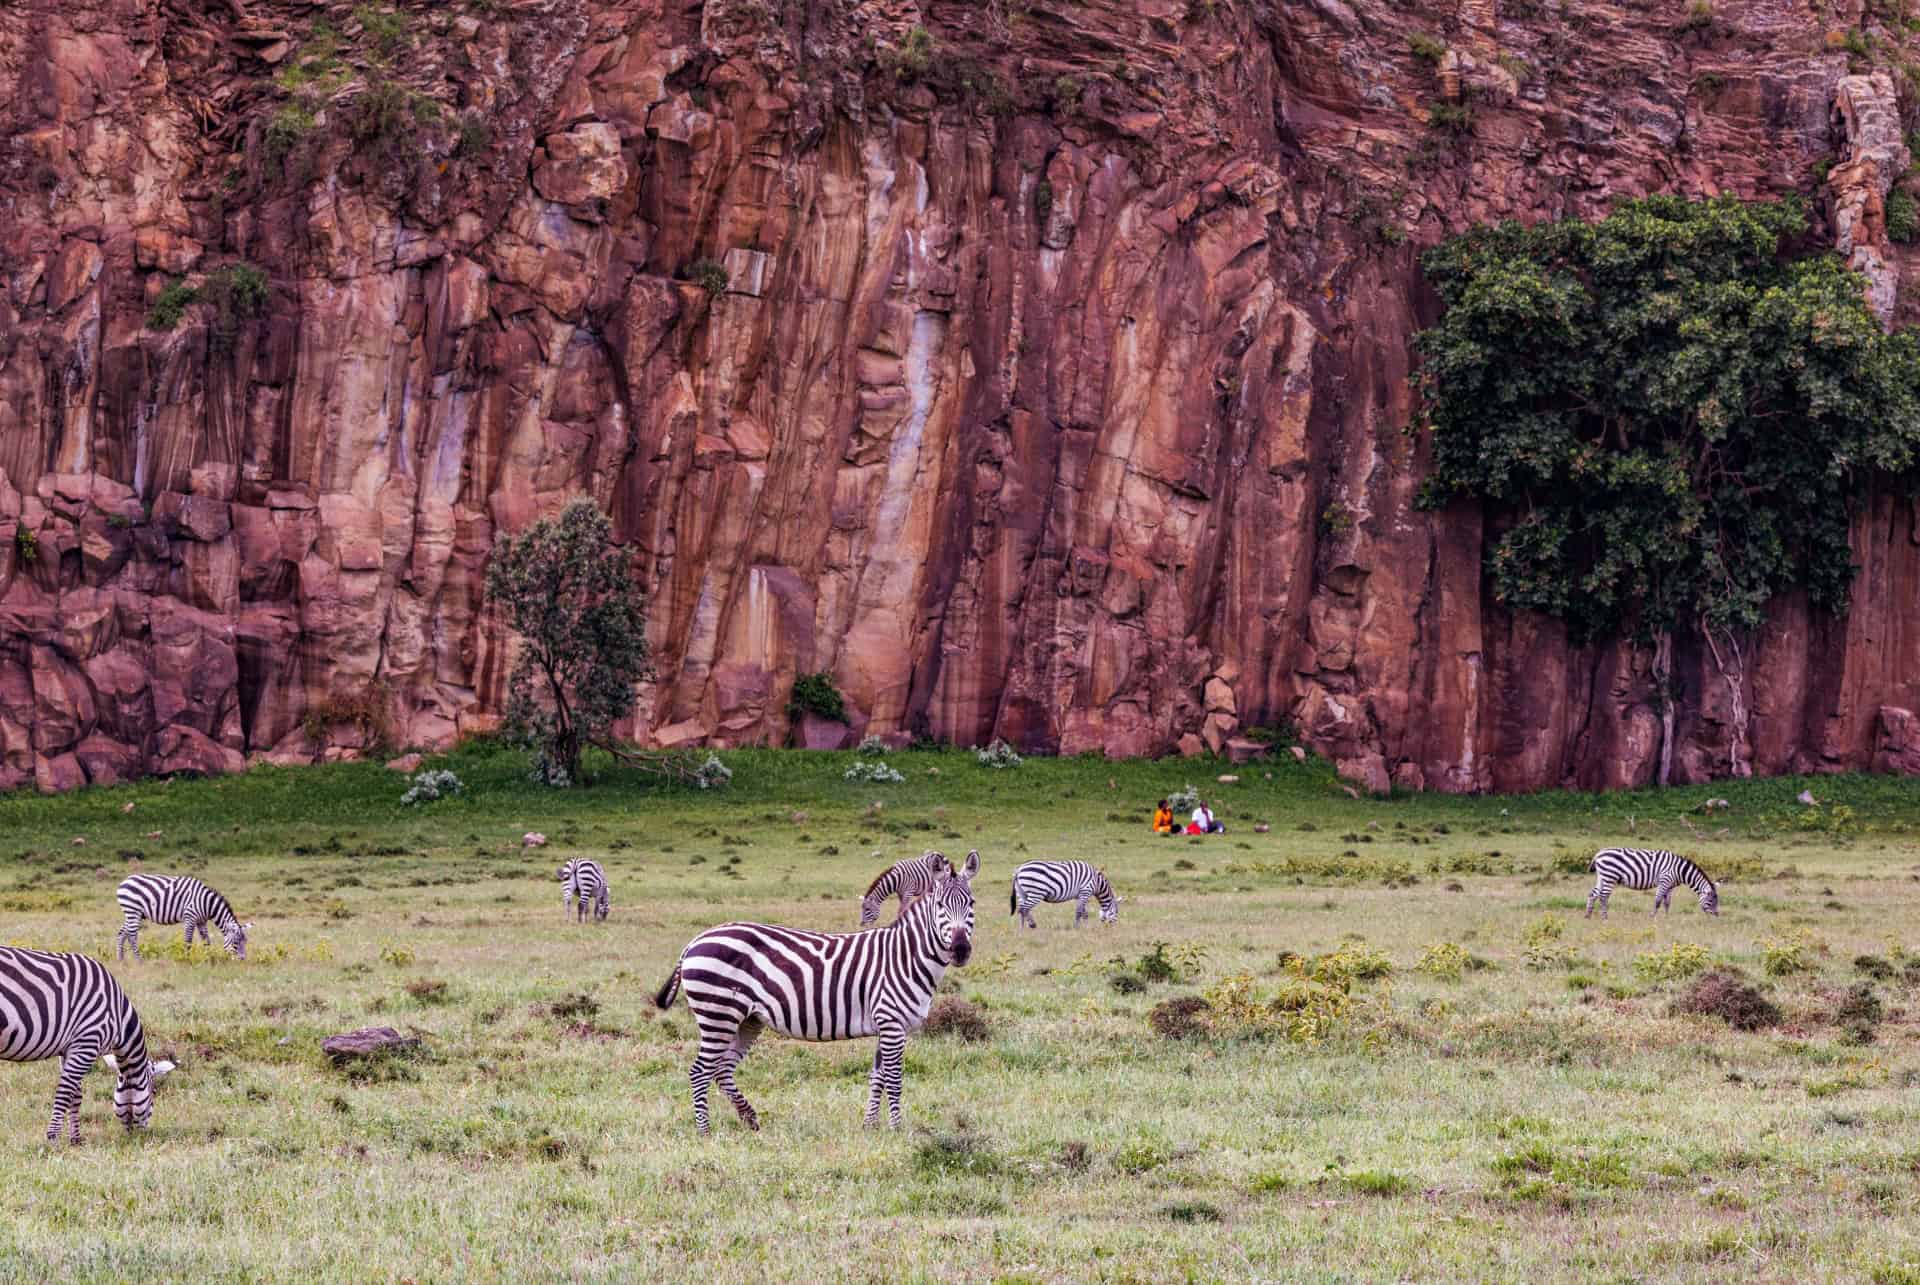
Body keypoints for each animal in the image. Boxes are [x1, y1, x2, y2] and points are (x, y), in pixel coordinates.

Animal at [0, 947, 168, 1143]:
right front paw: (53, 1138)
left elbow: (76, 1095)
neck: (119, 1017)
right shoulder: (88, 1041)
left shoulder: (70, 1048)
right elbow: (65, 1092)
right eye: (154, 1092)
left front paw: (75, 1139)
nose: (138, 1138)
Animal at [115, 875, 251, 960]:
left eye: (245, 942)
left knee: (122, 932)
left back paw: (121, 959)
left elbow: (206, 940)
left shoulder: (201, 921)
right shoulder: (190, 917)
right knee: (132, 936)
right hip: (133, 911)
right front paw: (186, 959)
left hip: (134, 914)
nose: (243, 959)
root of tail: (124, 882)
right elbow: (188, 941)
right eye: (235, 943)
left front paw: (209, 957)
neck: (206, 903)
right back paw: (139, 960)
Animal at [654, 850, 979, 1134]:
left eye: (972, 903)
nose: (961, 950)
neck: (905, 956)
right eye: (940, 906)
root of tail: (695, 940)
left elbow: (878, 1077)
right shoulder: (892, 1023)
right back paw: (705, 1131)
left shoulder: (886, 1025)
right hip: (717, 1014)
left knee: (722, 1069)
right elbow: (895, 1079)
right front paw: (896, 1129)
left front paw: (870, 1126)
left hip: (746, 1020)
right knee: (700, 1071)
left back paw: (750, 1118)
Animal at [1586, 848, 1720, 919]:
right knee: (1603, 896)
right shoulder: (1664, 881)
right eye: (1711, 901)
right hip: (1610, 876)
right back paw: (1604, 918)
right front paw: (1652, 917)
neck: (1680, 870)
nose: (1716, 916)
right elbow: (1658, 901)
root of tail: (1599, 854)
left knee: (1593, 894)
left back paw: (1588, 916)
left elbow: (1667, 903)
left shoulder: (1670, 886)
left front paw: (1667, 918)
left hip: (1602, 877)